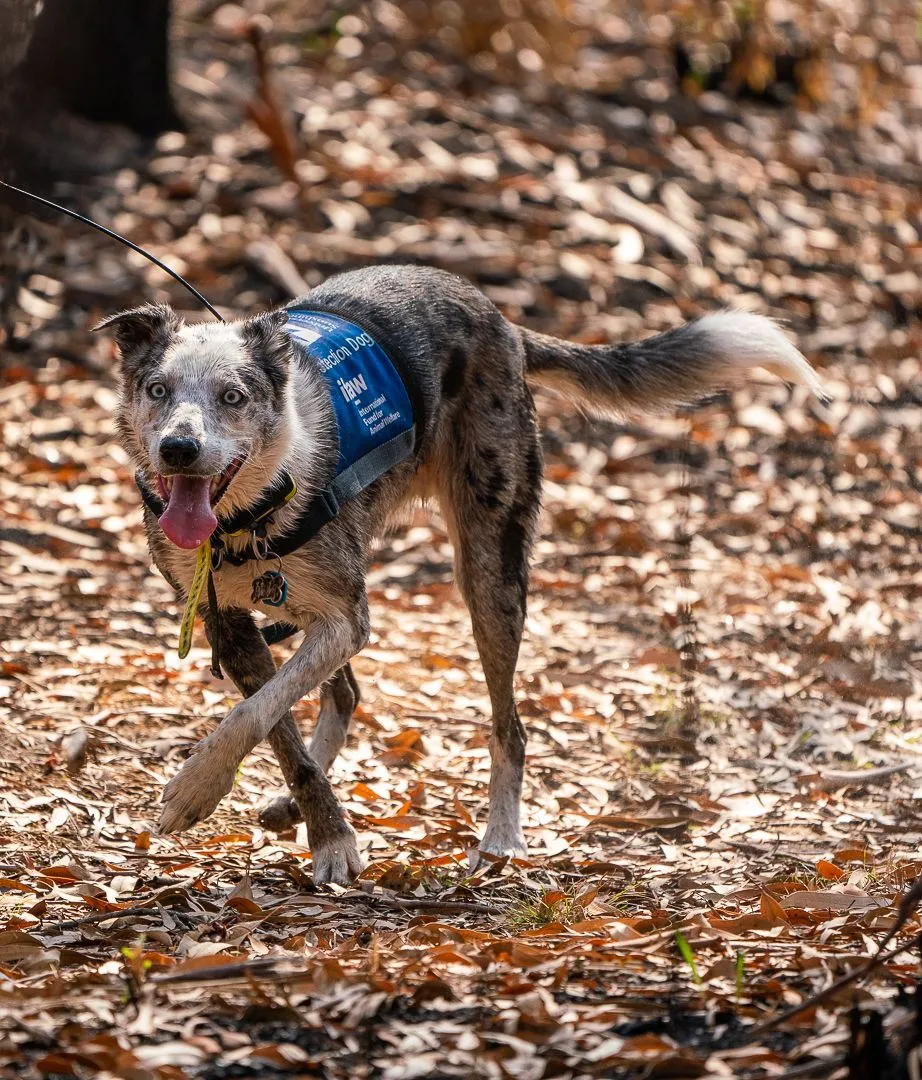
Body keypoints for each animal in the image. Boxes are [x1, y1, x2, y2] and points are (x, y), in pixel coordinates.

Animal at [104, 263, 824, 885]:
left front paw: (201, 792)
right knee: (347, 694)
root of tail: (499, 320)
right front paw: (323, 828)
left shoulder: (344, 619)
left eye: (234, 397)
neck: (248, 515)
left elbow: (253, 714)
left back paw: (500, 838)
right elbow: (278, 729)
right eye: (157, 390)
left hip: (490, 576)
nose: (178, 449)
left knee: (511, 726)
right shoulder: (229, 624)